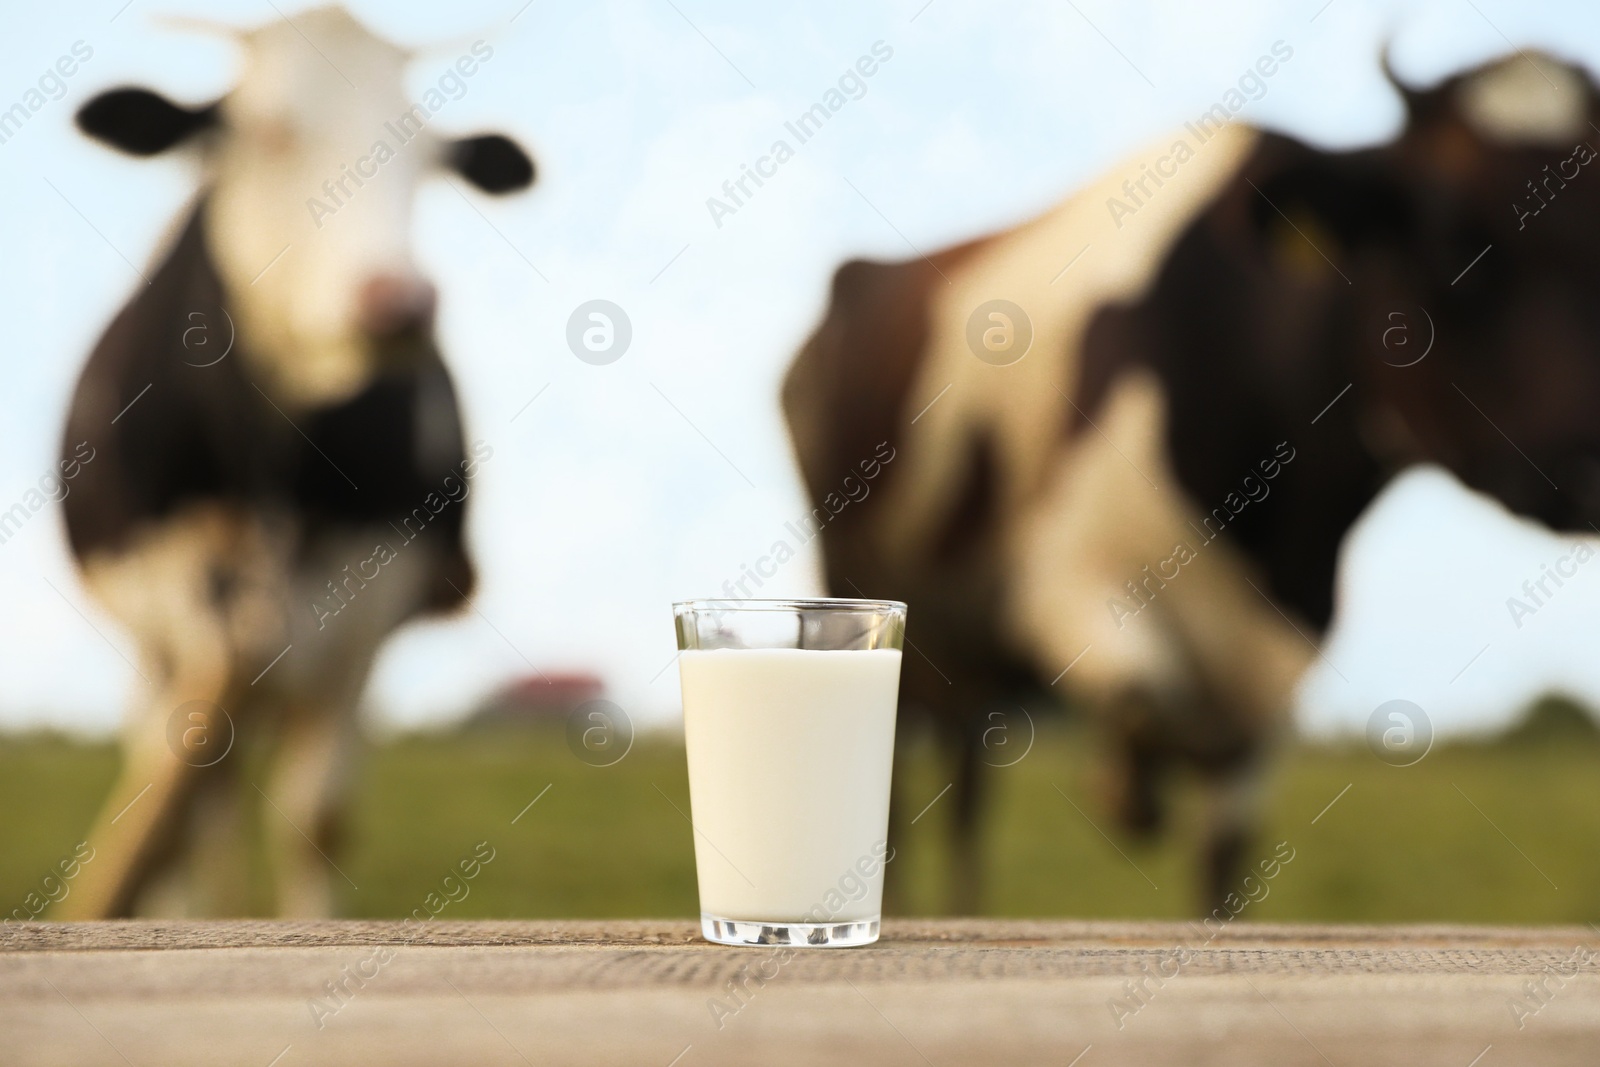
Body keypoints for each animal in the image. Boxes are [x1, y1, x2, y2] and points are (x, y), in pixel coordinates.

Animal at [53, 6, 534, 921]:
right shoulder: (175, 606)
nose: (397, 302)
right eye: (267, 132)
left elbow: (315, 818)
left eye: (428, 158)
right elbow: (176, 810)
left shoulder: (365, 620)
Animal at [784, 49, 1600, 915]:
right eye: (1453, 236)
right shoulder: (1064, 579)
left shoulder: (1274, 672)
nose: (1589, 467)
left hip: (962, 655)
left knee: (968, 783)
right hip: (863, 589)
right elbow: (1143, 698)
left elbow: (1223, 852)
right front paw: (1122, 788)